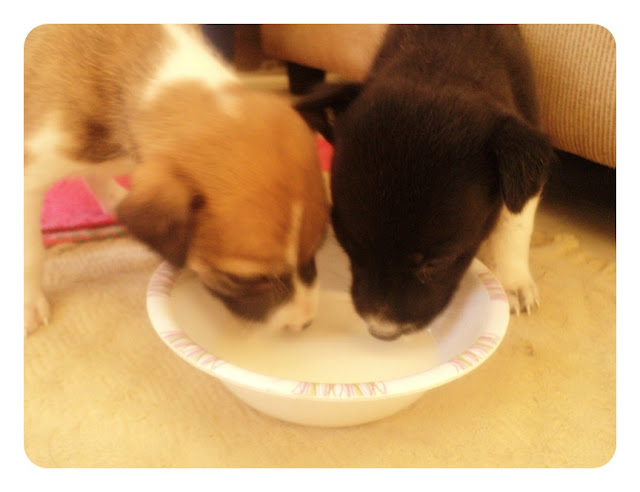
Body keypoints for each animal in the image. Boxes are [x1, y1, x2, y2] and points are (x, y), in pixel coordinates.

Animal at [24, 24, 328, 335]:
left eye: (318, 249)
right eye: (243, 279)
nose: (304, 324)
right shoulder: (30, 174)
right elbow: (31, 252)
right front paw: (29, 306)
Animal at [296, 25, 556, 340]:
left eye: (436, 263)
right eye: (348, 246)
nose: (381, 333)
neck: (442, 58)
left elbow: (514, 223)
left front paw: (513, 283)